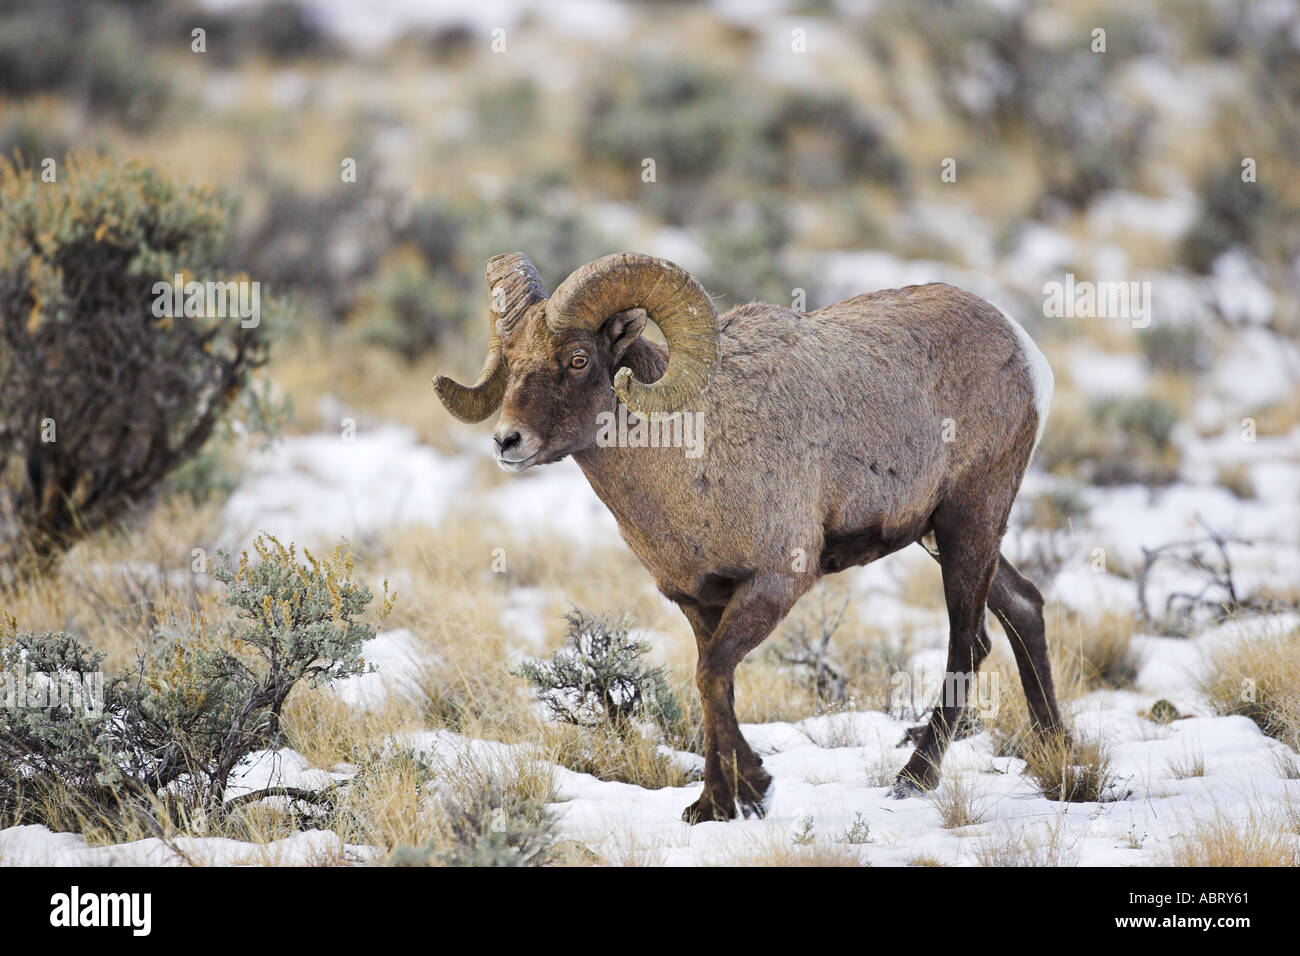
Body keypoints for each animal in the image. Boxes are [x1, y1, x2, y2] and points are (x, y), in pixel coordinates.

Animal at [434, 251, 1065, 823]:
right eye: (510, 359)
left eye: (578, 358)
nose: (507, 441)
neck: (693, 455)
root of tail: (1026, 353)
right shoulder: (700, 603)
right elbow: (713, 686)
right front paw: (714, 807)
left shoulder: (773, 585)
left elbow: (712, 675)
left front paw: (754, 787)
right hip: (944, 536)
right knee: (1023, 606)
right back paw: (1057, 755)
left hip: (968, 522)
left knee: (969, 643)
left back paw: (914, 780)